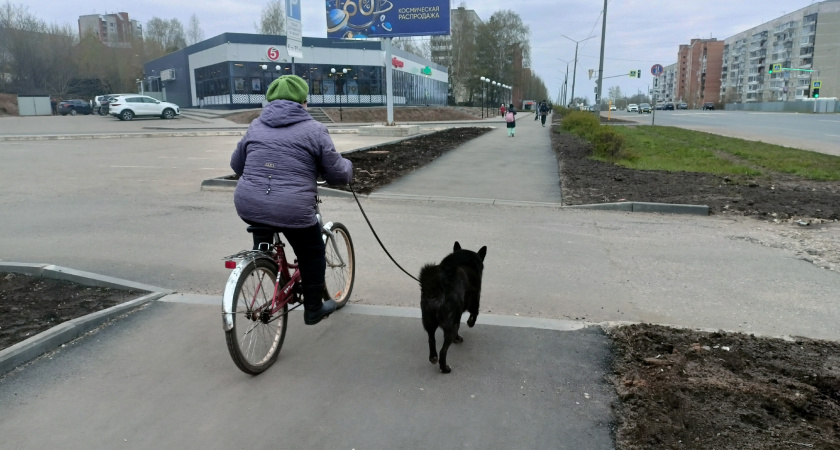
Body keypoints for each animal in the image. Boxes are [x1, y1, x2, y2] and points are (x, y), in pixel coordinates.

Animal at [418, 243, 486, 372]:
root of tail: (436, 291)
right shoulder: (475, 299)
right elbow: (475, 313)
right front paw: (470, 323)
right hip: (452, 324)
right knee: (443, 351)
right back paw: (444, 368)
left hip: (429, 322)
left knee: (431, 339)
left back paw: (433, 357)